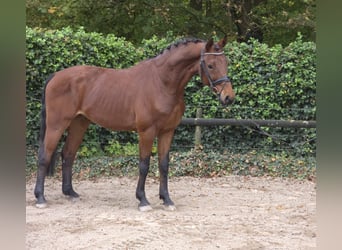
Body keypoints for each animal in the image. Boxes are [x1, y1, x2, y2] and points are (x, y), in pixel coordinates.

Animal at [34, 35, 235, 211]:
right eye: (210, 65)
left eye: (226, 63)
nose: (228, 97)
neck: (162, 82)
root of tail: (55, 76)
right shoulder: (147, 131)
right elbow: (144, 165)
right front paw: (143, 200)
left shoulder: (167, 131)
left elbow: (164, 165)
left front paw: (167, 199)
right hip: (56, 124)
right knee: (44, 155)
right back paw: (40, 198)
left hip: (79, 123)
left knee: (68, 154)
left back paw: (70, 193)